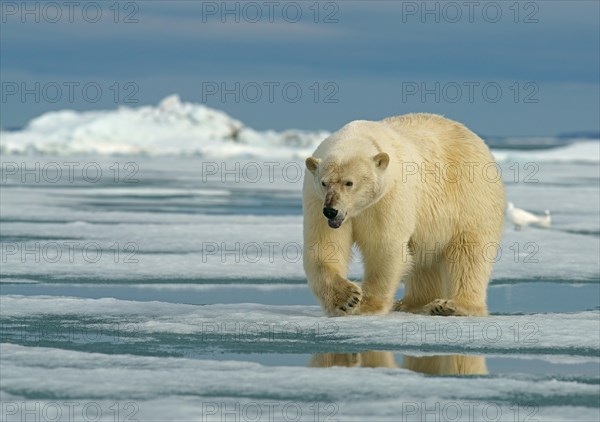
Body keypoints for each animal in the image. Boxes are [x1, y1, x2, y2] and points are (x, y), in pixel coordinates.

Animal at [302, 113, 504, 314]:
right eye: (324, 182)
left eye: (349, 182)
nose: (331, 211)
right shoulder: (316, 200)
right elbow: (324, 246)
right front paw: (346, 299)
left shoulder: (388, 198)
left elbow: (384, 246)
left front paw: (366, 305)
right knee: (425, 261)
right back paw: (412, 303)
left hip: (470, 198)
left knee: (469, 254)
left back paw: (453, 306)